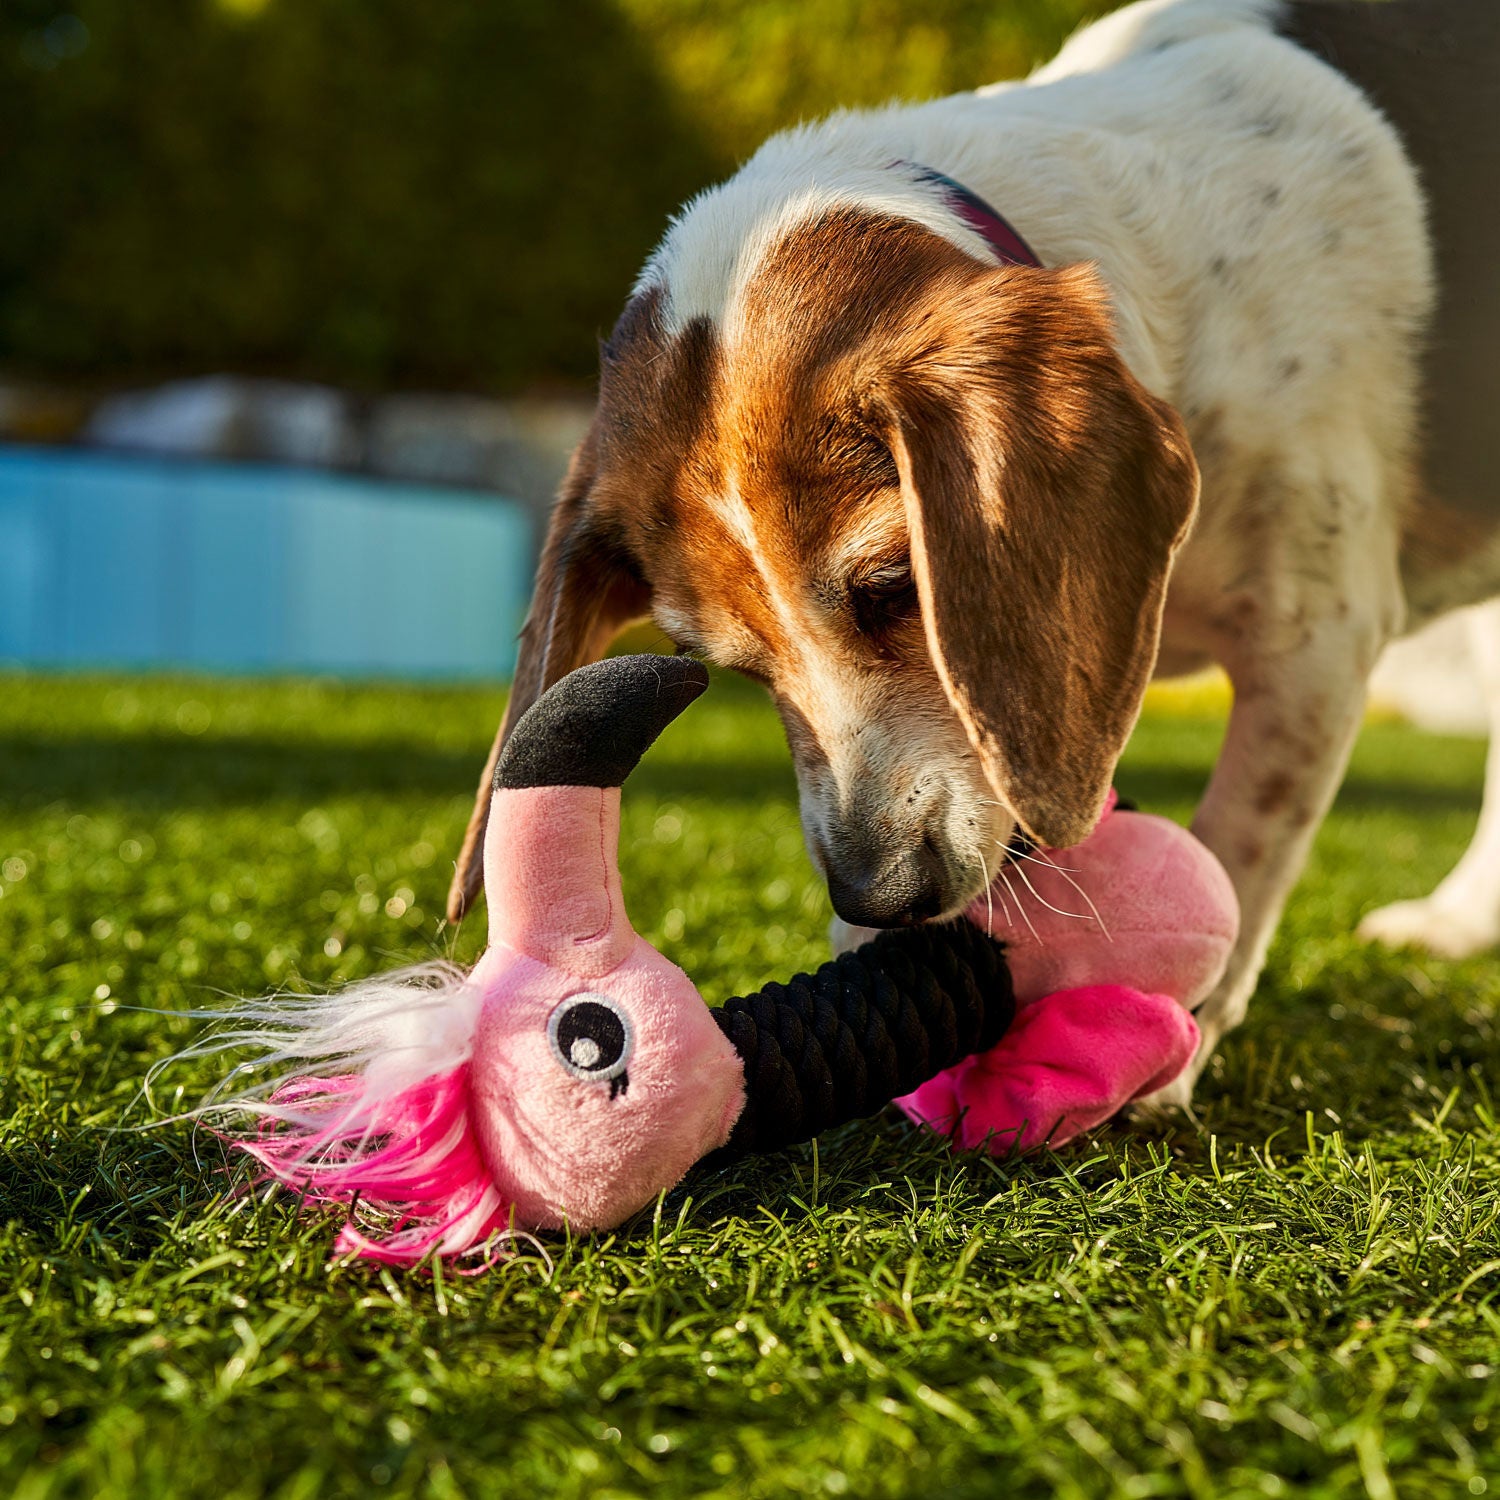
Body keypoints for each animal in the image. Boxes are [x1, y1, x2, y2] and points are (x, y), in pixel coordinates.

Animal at [447, 0, 1500, 1104]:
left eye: (891, 585)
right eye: (728, 666)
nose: (878, 896)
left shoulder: (1312, 647)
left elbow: (1240, 849)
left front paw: (1170, 1053)